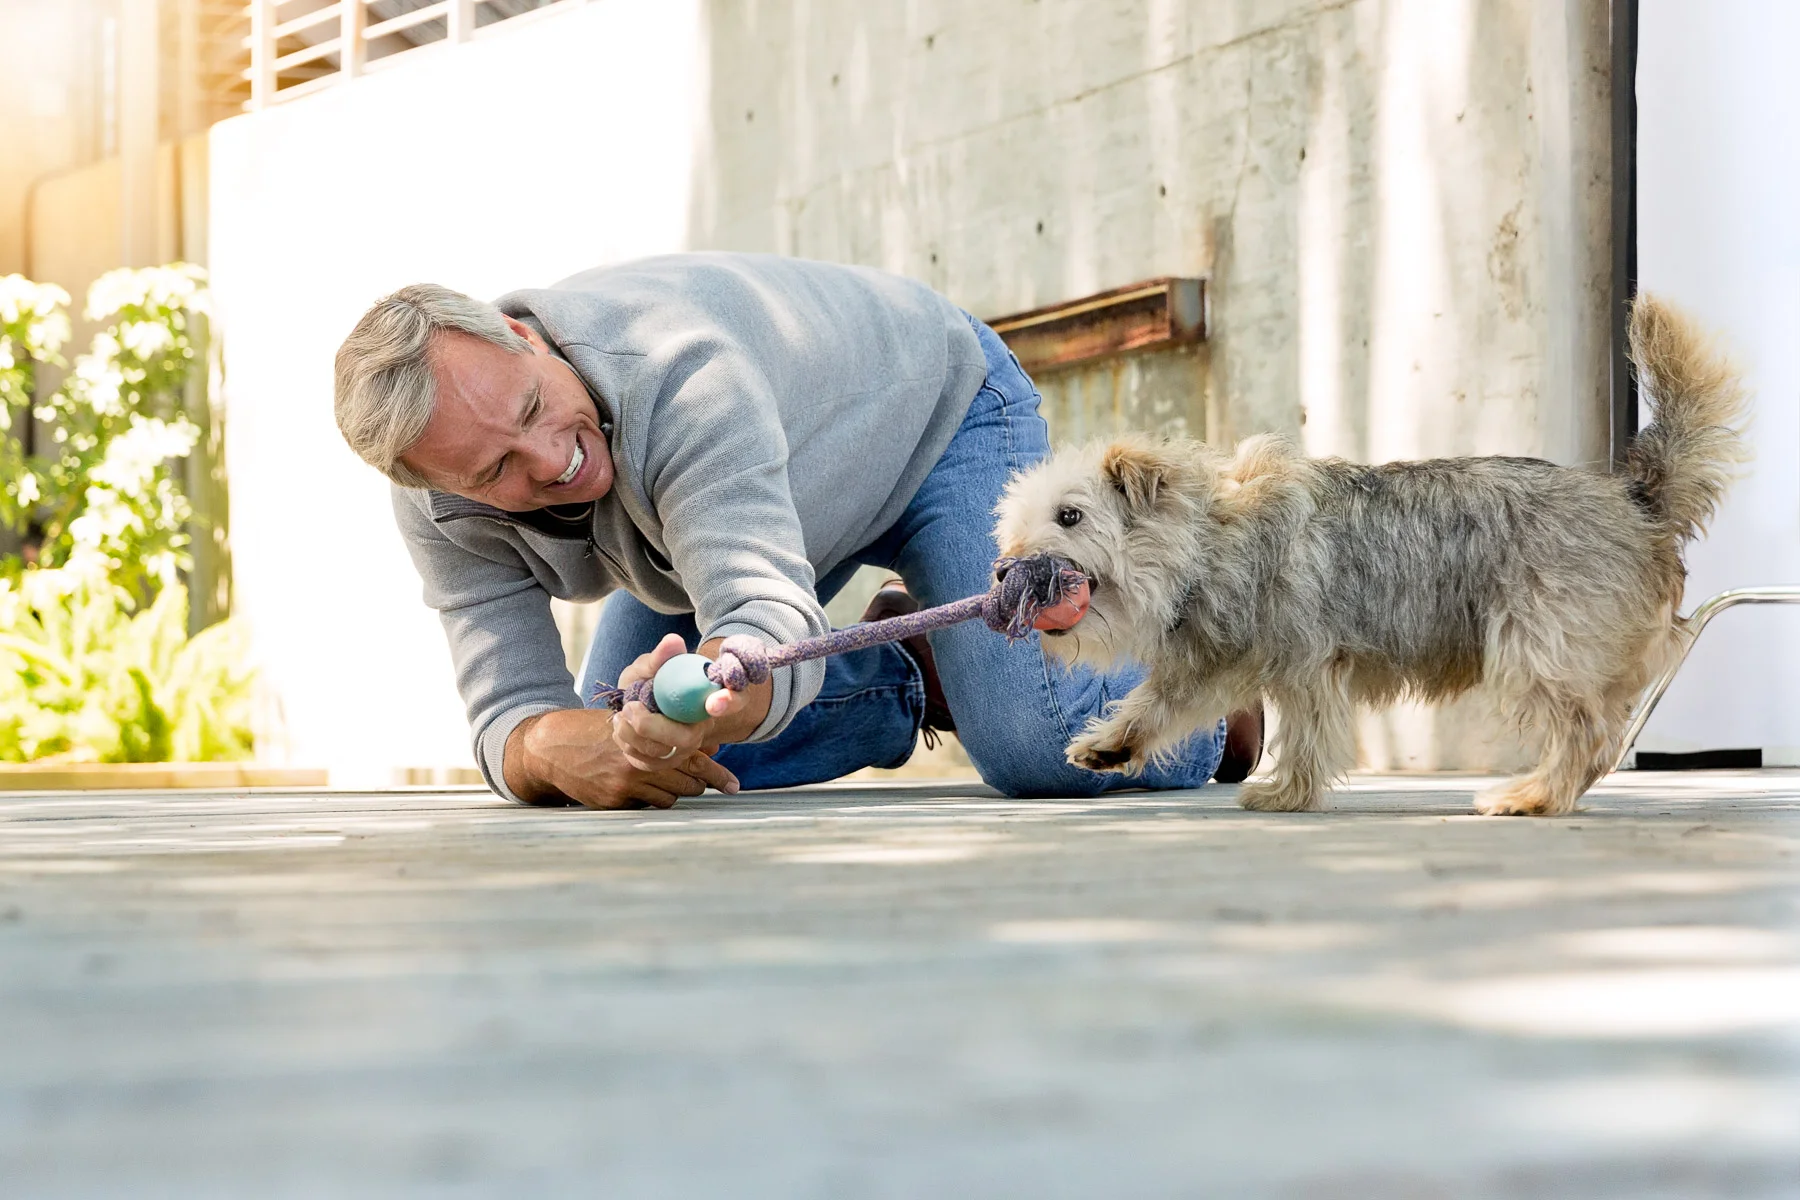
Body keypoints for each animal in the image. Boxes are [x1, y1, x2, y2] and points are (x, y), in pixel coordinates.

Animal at [1000, 296, 1742, 816]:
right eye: (1011, 531)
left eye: (1070, 516)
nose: (1006, 570)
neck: (1211, 538)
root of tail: (1637, 498)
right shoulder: (1223, 661)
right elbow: (1157, 705)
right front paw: (1113, 744)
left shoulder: (1300, 661)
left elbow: (1296, 729)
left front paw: (1284, 791)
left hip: (1538, 647)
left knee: (1587, 735)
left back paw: (1530, 795)